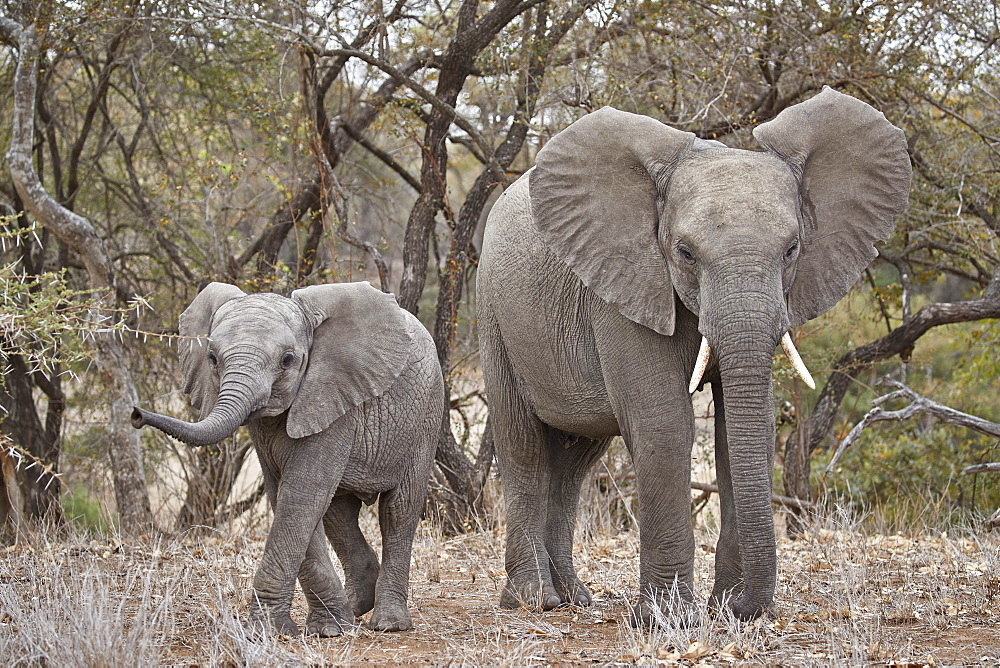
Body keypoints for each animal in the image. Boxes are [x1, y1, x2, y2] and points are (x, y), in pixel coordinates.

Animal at [133, 280, 446, 636]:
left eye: (287, 360)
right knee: (338, 513)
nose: (136, 414)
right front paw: (328, 628)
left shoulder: (330, 399)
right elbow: (287, 496)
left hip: (426, 414)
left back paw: (388, 623)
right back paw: (356, 607)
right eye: (212, 357)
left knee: (398, 510)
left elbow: (301, 495)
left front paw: (269, 631)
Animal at [478, 86, 916, 624]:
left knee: (575, 460)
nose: (748, 609)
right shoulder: (625, 282)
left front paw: (725, 607)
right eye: (685, 253)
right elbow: (664, 423)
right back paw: (533, 600)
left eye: (792, 249)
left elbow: (742, 427)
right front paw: (668, 620)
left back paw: (574, 598)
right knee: (523, 447)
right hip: (495, 316)